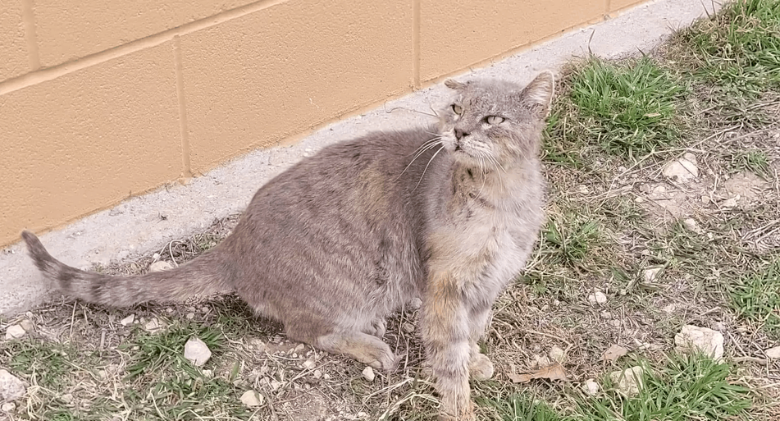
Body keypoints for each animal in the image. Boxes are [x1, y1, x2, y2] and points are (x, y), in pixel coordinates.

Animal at [21, 73, 552, 420]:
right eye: (457, 110)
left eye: (493, 118)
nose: (458, 132)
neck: (500, 199)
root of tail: (234, 244)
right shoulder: (444, 284)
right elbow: (448, 351)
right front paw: (460, 402)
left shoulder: (485, 284)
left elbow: (472, 331)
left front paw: (476, 359)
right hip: (347, 288)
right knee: (304, 329)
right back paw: (371, 346)